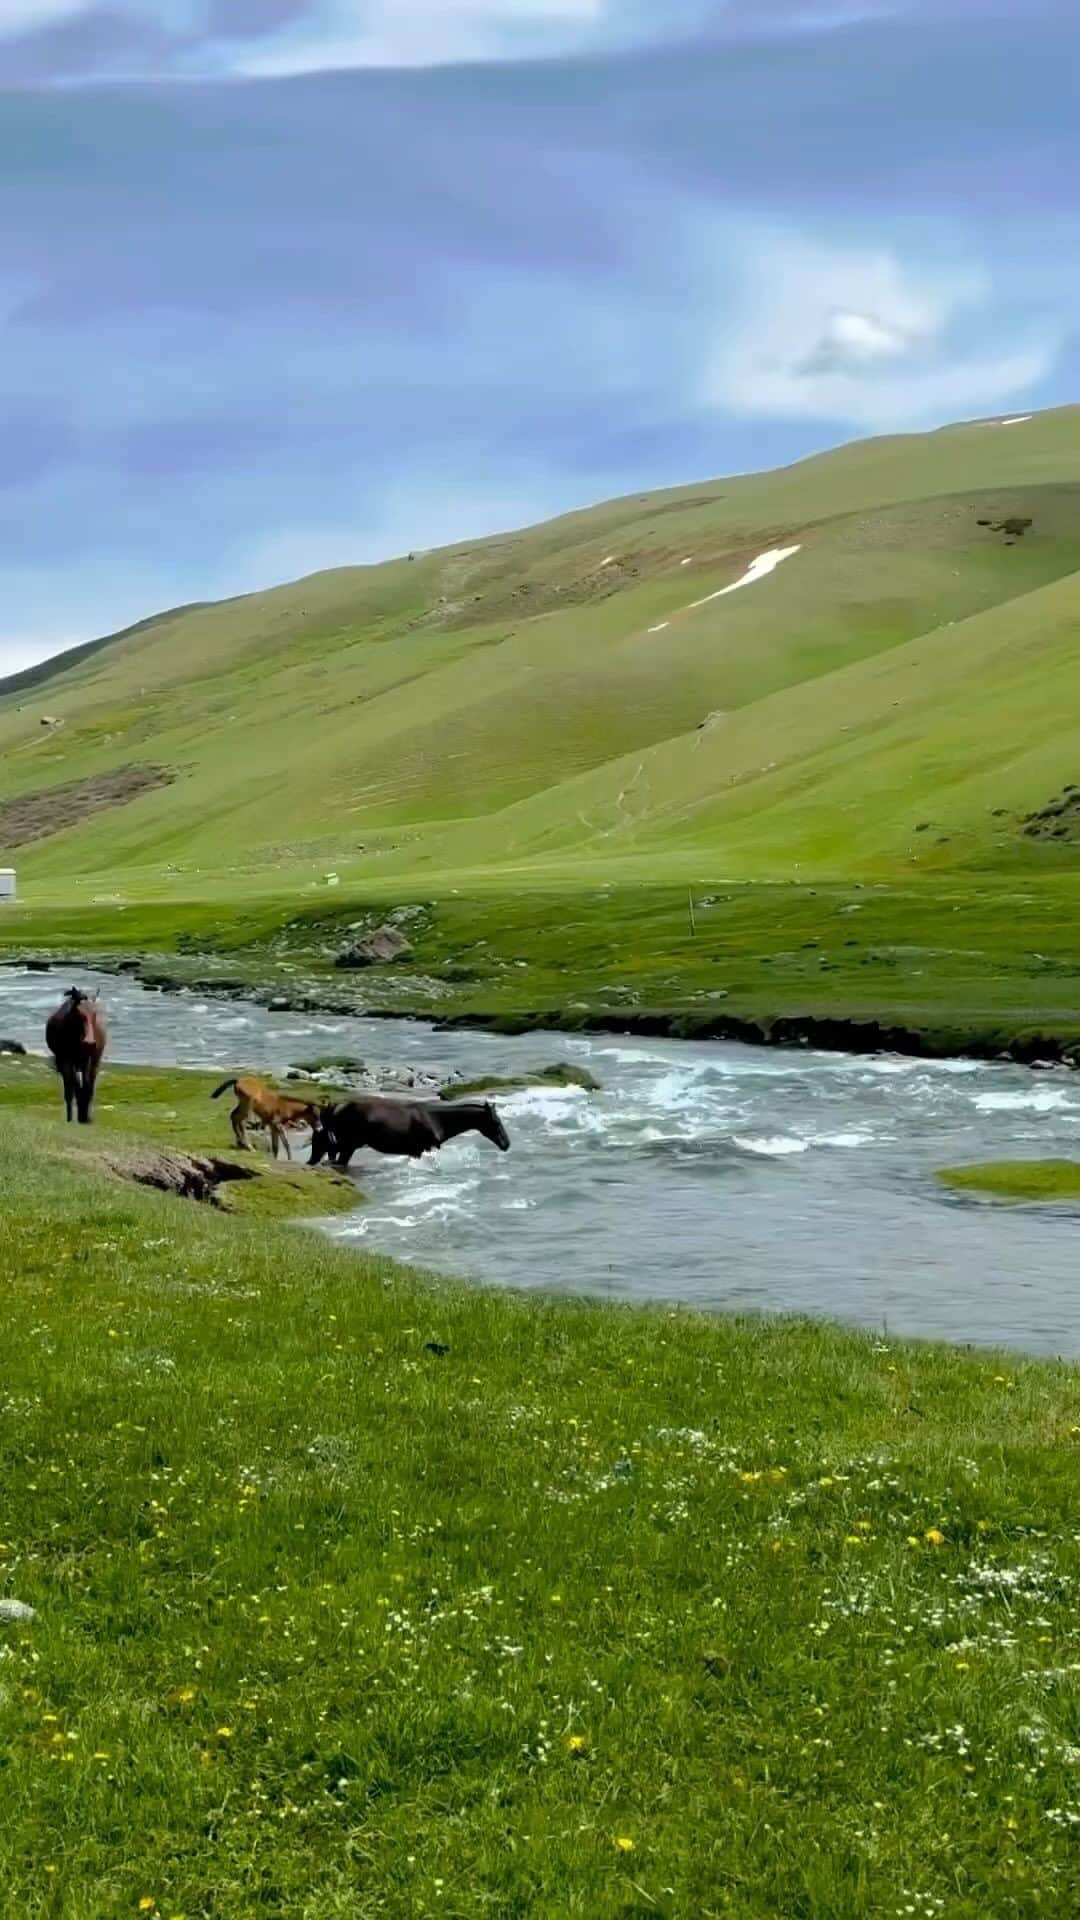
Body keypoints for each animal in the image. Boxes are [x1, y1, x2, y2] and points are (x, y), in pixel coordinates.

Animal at [45, 990, 107, 1121]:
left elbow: (85, 1086)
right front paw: (73, 1117)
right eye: (80, 1015)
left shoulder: (87, 1061)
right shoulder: (65, 1062)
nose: (89, 1042)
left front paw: (84, 1115)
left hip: (94, 1062)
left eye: (95, 1014)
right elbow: (72, 1089)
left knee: (89, 1085)